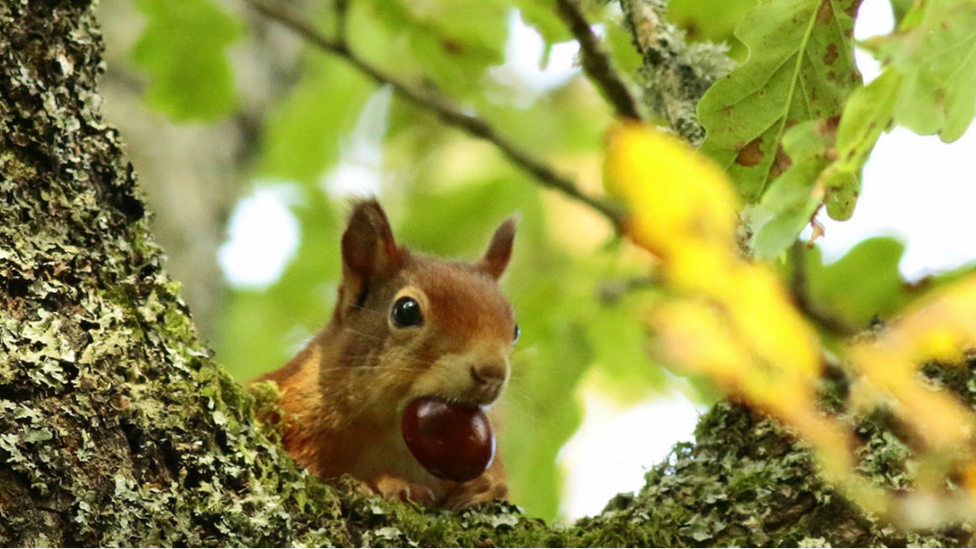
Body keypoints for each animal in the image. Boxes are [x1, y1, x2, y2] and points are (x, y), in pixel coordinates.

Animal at [255, 200, 524, 510]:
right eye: (406, 311)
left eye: (515, 330)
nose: (492, 373)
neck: (389, 435)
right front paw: (386, 485)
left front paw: (487, 486)